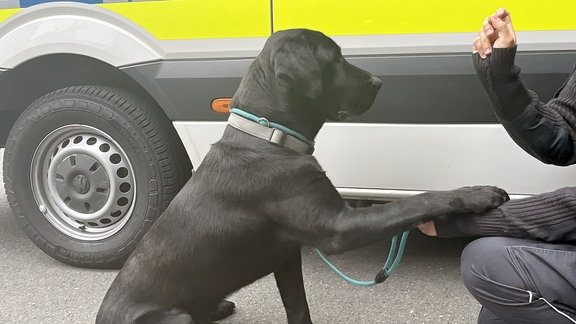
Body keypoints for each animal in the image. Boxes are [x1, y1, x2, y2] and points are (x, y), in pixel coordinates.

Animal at [98, 29, 508, 322]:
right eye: (335, 58)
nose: (378, 81)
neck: (270, 139)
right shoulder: (337, 226)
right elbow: (418, 200)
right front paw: (479, 193)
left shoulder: (287, 255)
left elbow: (297, 306)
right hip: (174, 318)